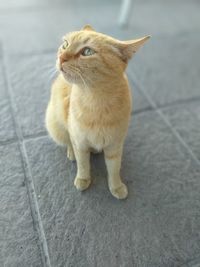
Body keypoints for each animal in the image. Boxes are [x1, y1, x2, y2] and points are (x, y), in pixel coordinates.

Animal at [45, 25, 150, 200]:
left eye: (87, 51)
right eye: (65, 44)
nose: (61, 57)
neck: (96, 101)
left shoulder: (115, 146)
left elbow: (114, 169)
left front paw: (116, 187)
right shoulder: (80, 142)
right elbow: (83, 164)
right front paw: (83, 179)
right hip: (56, 125)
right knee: (68, 141)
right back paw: (71, 153)